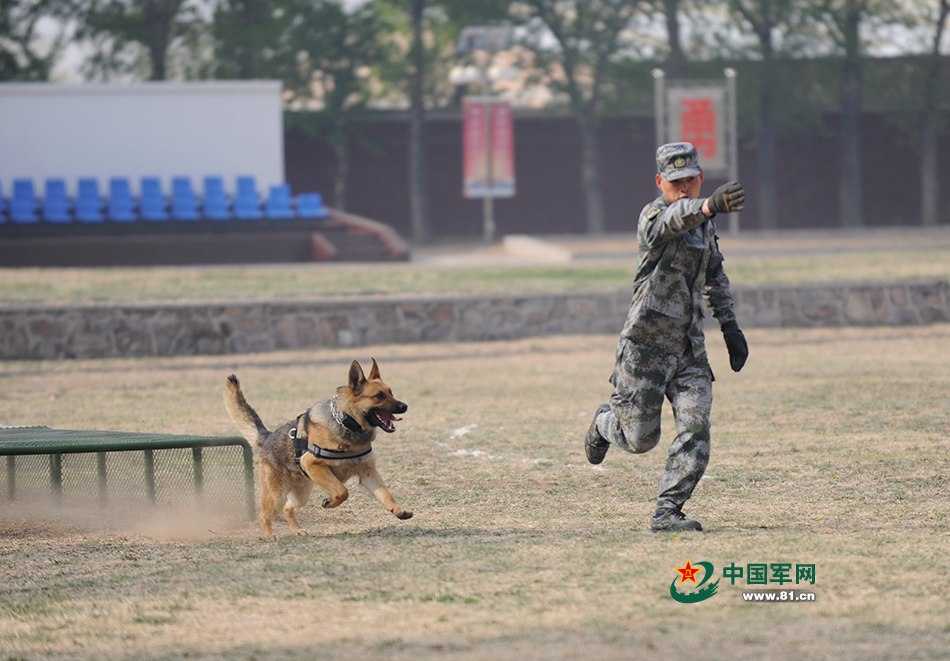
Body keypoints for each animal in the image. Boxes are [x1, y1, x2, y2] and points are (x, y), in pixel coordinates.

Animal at [227, 358, 416, 540]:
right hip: (277, 494)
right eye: (379, 396)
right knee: (264, 514)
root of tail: (268, 436)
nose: (405, 406)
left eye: (391, 392)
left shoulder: (368, 473)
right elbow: (342, 491)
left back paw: (297, 530)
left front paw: (398, 510)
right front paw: (330, 502)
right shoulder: (313, 464)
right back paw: (268, 535)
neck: (347, 423)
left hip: (301, 494)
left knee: (288, 508)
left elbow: (386, 494)